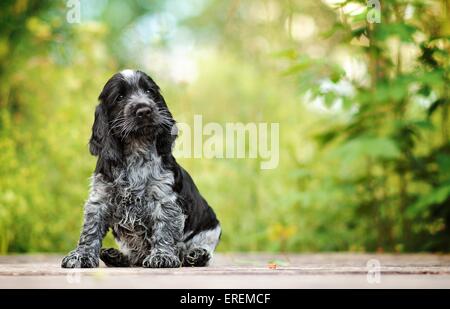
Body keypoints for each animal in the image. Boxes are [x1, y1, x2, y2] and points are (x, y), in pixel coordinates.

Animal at [61, 70, 220, 268]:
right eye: (120, 97)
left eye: (150, 92)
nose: (144, 110)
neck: (137, 148)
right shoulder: (100, 199)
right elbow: (90, 231)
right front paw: (81, 256)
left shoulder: (164, 199)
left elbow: (164, 229)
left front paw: (162, 256)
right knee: (134, 256)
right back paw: (116, 256)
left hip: (211, 226)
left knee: (198, 248)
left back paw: (197, 255)